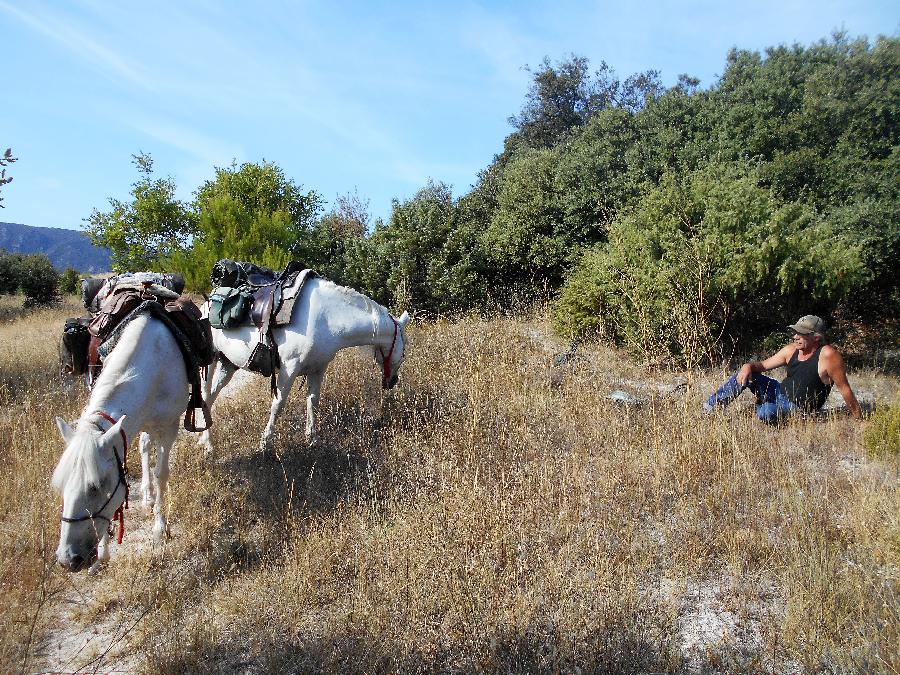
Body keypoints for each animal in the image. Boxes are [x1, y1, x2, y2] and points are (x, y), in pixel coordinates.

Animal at [51, 316, 189, 572]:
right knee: (144, 445)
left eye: (95, 487)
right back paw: (146, 495)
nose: (68, 559)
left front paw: (159, 528)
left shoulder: (168, 428)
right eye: (62, 485)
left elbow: (161, 474)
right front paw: (103, 554)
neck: (155, 361)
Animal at [199, 278, 410, 456]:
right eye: (404, 350)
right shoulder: (289, 369)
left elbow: (313, 402)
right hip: (210, 362)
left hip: (227, 365)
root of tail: (205, 305)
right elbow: (278, 405)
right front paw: (265, 444)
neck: (326, 318)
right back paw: (208, 446)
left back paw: (204, 440)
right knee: (205, 396)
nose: (392, 381)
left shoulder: (318, 369)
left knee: (211, 397)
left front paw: (312, 438)